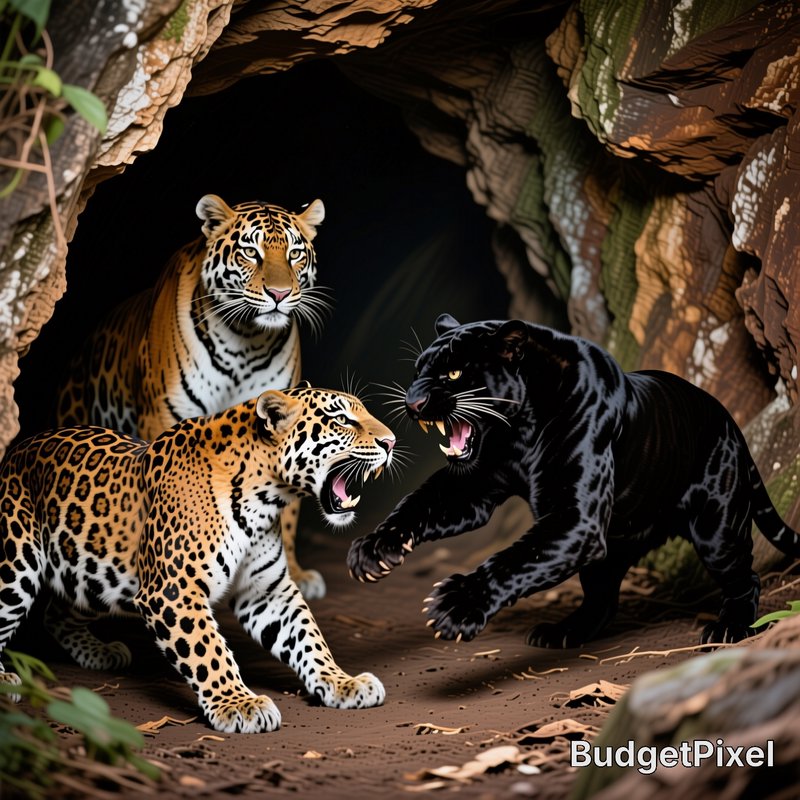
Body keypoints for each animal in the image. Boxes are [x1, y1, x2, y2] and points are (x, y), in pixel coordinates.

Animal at [0, 386, 395, 733]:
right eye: (341, 420)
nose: (390, 442)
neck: (266, 498)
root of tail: (17, 450)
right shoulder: (173, 591)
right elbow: (208, 651)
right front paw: (239, 704)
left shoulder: (266, 592)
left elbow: (308, 637)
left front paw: (342, 682)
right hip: (18, 566)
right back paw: (7, 679)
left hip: (93, 575)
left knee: (56, 613)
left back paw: (100, 652)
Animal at [56, 194, 330, 599]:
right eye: (250, 251)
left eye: (295, 253)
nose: (279, 295)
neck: (247, 342)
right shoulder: (164, 417)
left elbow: (287, 511)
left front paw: (294, 572)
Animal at [348, 313, 800, 648]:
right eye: (417, 372)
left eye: (456, 373)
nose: (412, 403)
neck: (518, 434)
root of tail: (732, 424)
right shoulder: (474, 486)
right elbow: (417, 504)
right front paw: (374, 550)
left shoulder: (573, 517)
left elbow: (515, 558)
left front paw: (457, 606)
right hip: (612, 546)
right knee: (601, 598)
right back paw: (562, 633)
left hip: (715, 529)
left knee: (745, 577)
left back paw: (730, 628)